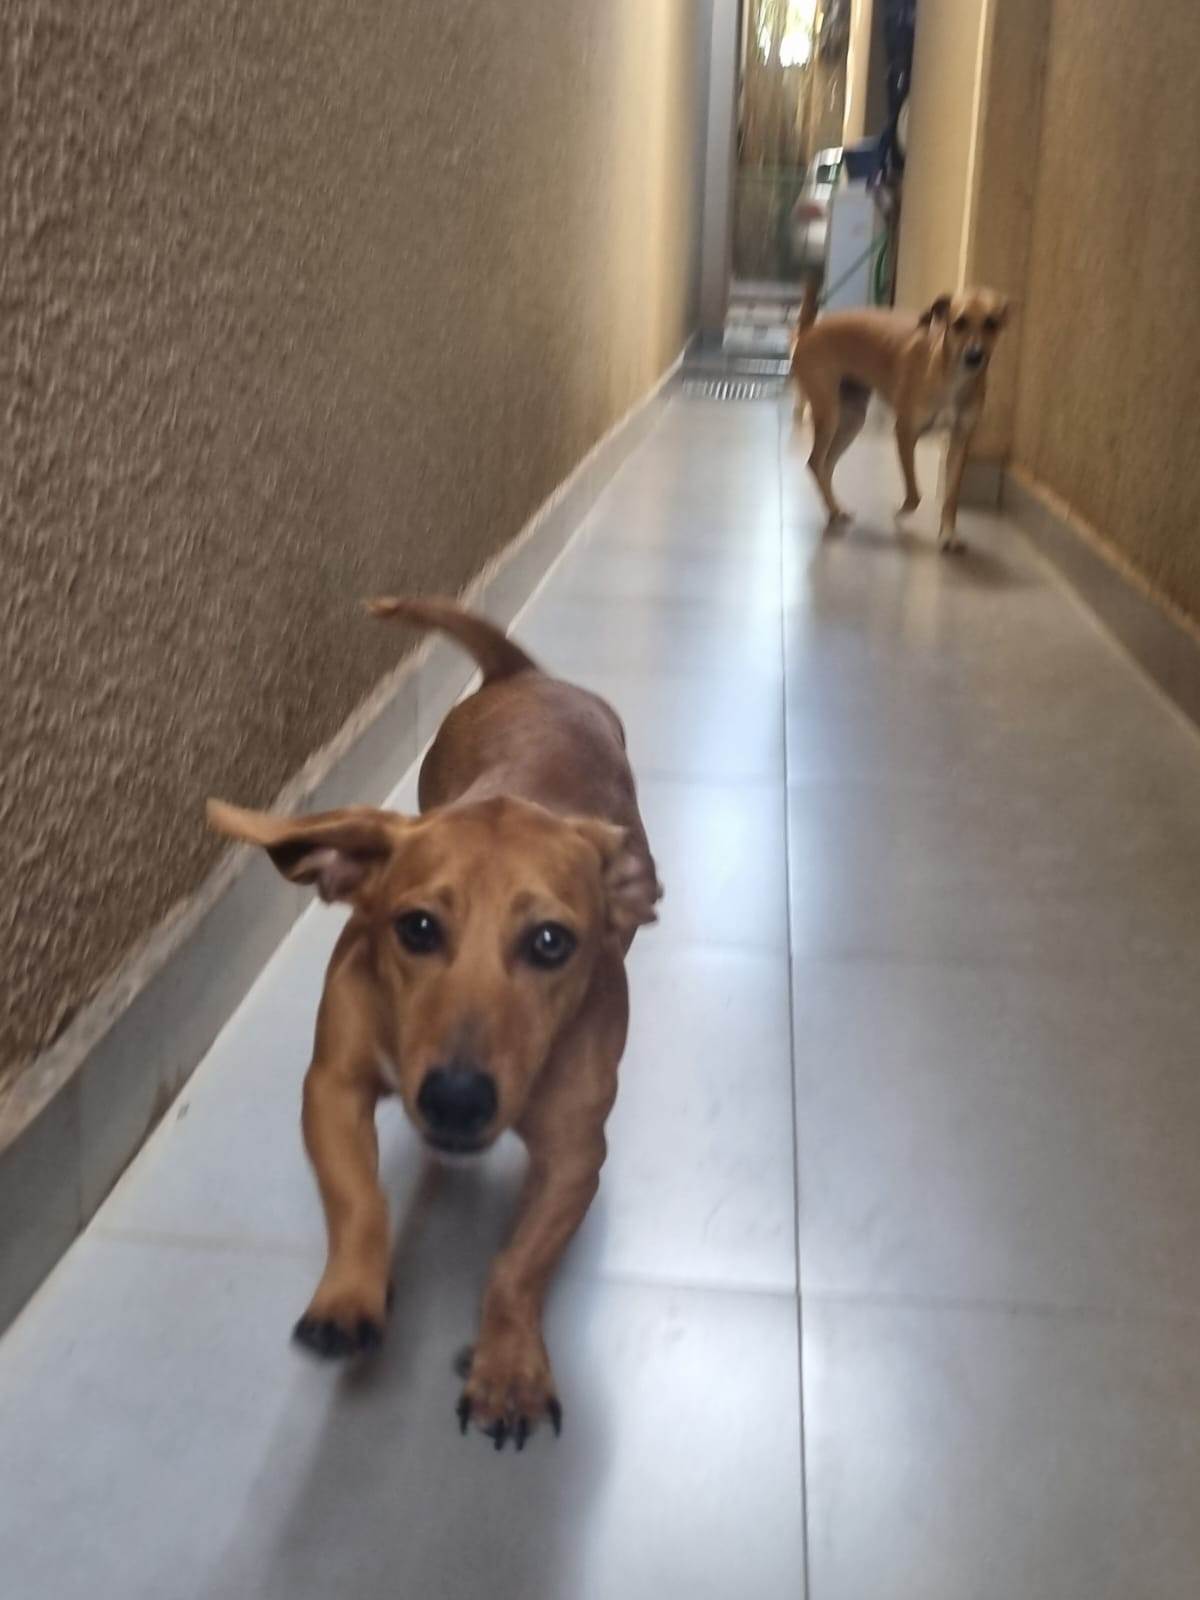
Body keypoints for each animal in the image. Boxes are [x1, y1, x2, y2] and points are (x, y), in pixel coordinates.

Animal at [207, 598, 661, 1449]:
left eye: (551, 942)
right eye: (415, 928)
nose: (454, 1100)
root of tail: (525, 676)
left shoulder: (576, 1154)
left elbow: (517, 1266)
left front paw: (509, 1365)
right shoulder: (333, 1087)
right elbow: (358, 1200)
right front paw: (350, 1294)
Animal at [790, 279, 1010, 550]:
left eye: (991, 323)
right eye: (959, 323)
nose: (974, 356)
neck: (951, 375)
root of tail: (808, 332)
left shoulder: (960, 441)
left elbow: (951, 498)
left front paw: (948, 534)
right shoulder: (905, 433)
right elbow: (914, 493)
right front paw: (902, 512)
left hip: (852, 420)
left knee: (826, 464)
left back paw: (836, 509)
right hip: (830, 414)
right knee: (815, 461)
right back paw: (833, 510)